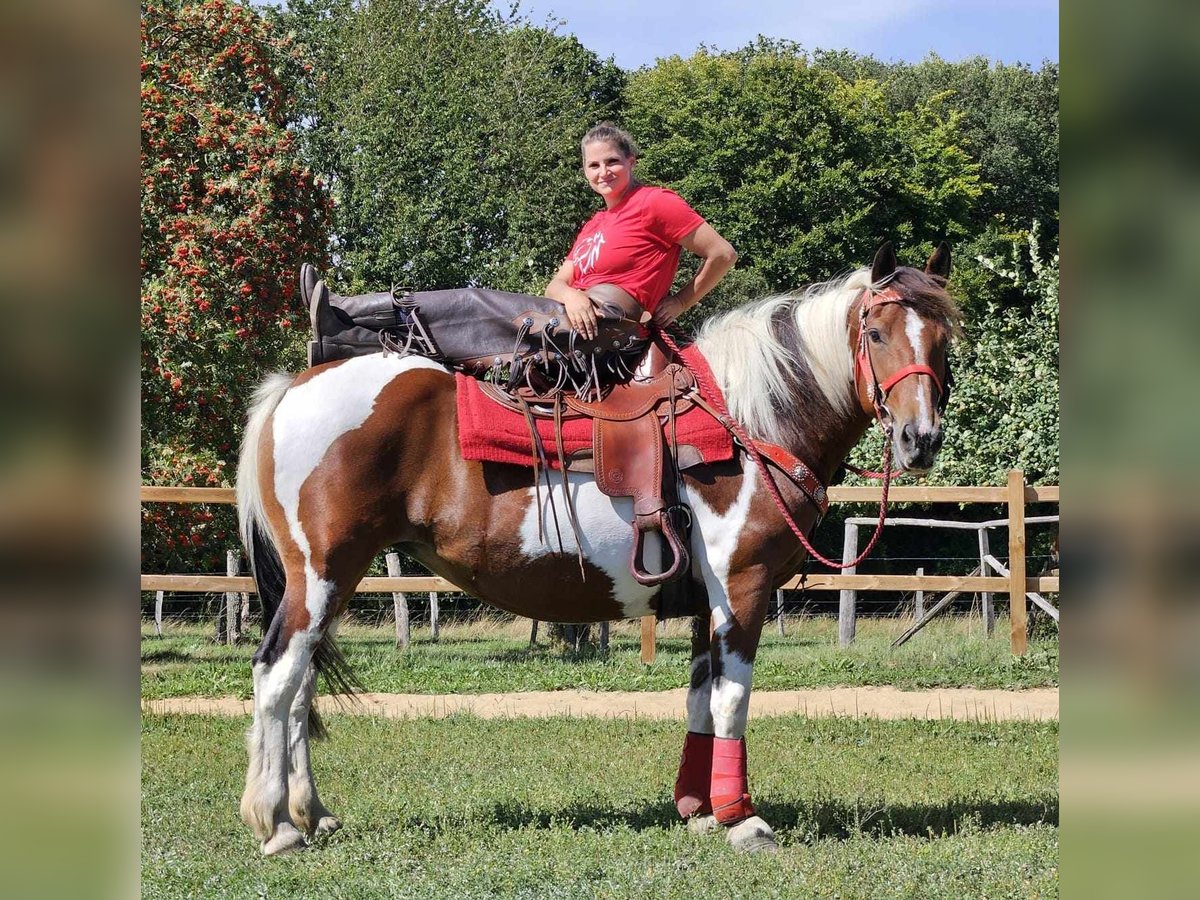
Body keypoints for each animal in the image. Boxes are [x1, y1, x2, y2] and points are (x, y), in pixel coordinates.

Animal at [238, 243, 960, 854]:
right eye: (875, 333)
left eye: (944, 338)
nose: (920, 439)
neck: (749, 422)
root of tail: (293, 389)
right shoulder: (742, 587)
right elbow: (733, 699)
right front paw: (741, 819)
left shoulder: (706, 602)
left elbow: (699, 697)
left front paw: (697, 809)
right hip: (322, 574)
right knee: (278, 676)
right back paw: (278, 825)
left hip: (332, 581)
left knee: (300, 685)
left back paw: (312, 812)